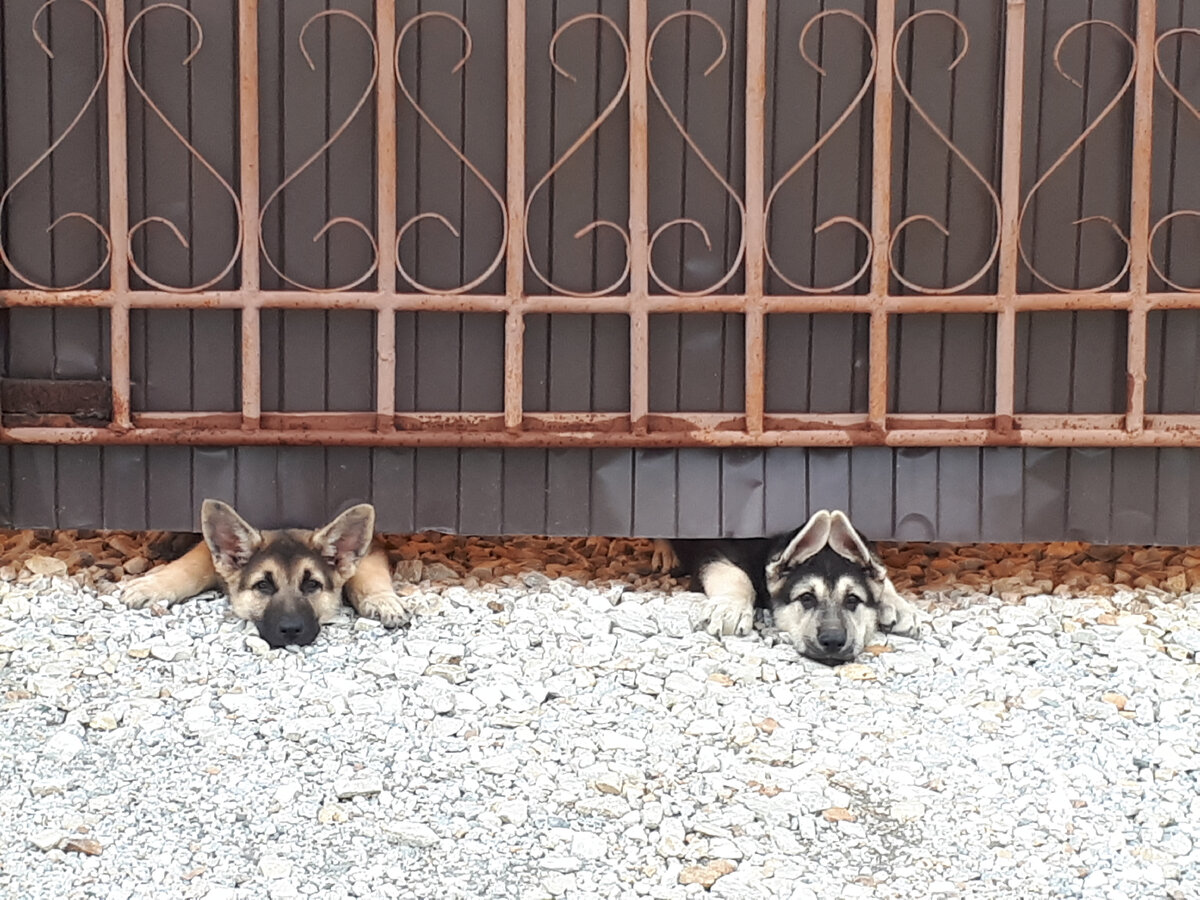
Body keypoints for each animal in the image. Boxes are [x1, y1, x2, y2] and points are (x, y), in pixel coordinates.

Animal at [122, 501, 412, 648]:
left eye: (311, 585)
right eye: (263, 586)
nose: (291, 630)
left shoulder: (372, 546)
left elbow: (367, 571)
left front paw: (382, 599)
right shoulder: (206, 554)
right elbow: (190, 566)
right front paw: (152, 585)